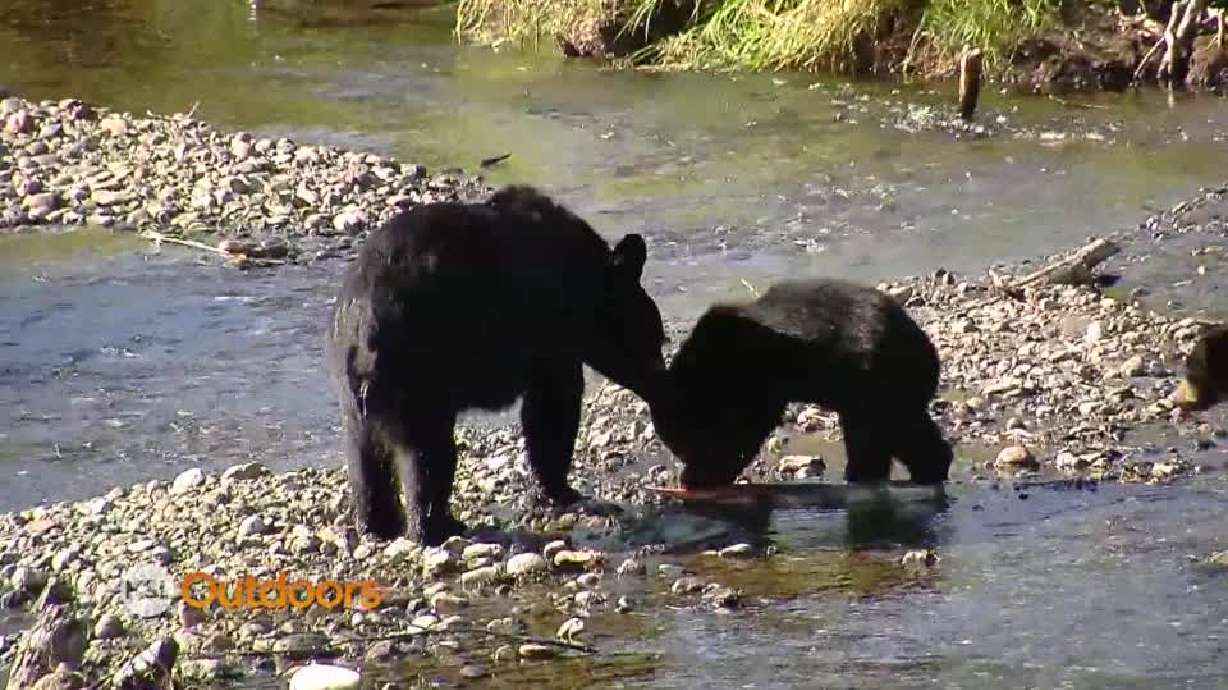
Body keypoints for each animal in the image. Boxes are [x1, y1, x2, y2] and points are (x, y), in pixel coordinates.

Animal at [325, 185, 666, 545]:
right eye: (656, 338)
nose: (664, 384)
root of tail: (361, 327)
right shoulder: (549, 338)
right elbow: (551, 409)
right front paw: (561, 489)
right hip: (417, 370)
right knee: (427, 455)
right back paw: (435, 527)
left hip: (354, 395)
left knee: (364, 459)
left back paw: (377, 526)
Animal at [647, 278, 952, 489]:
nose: (687, 465)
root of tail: (928, 355)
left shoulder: (753, 376)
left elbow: (744, 427)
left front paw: (703, 473)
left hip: (877, 384)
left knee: (885, 431)